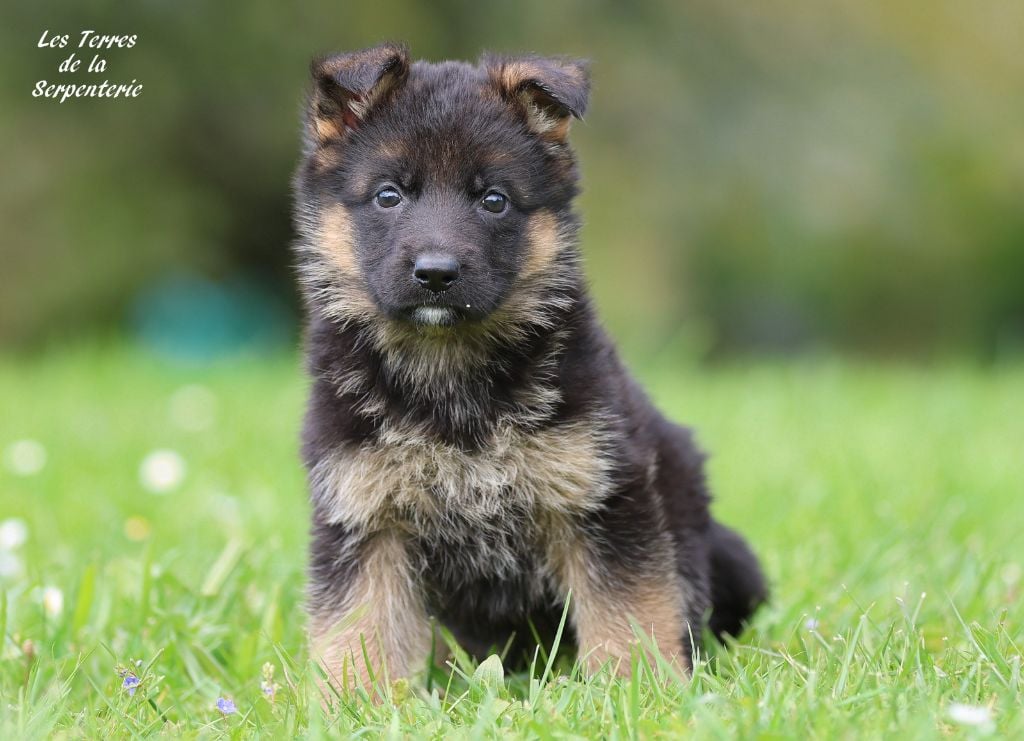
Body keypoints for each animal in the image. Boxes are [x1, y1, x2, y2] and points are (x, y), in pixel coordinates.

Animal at [292, 44, 765, 695]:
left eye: (493, 199)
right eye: (389, 195)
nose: (436, 273)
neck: (451, 375)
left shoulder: (601, 494)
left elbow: (629, 610)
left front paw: (639, 692)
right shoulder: (363, 514)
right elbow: (360, 628)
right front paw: (355, 702)